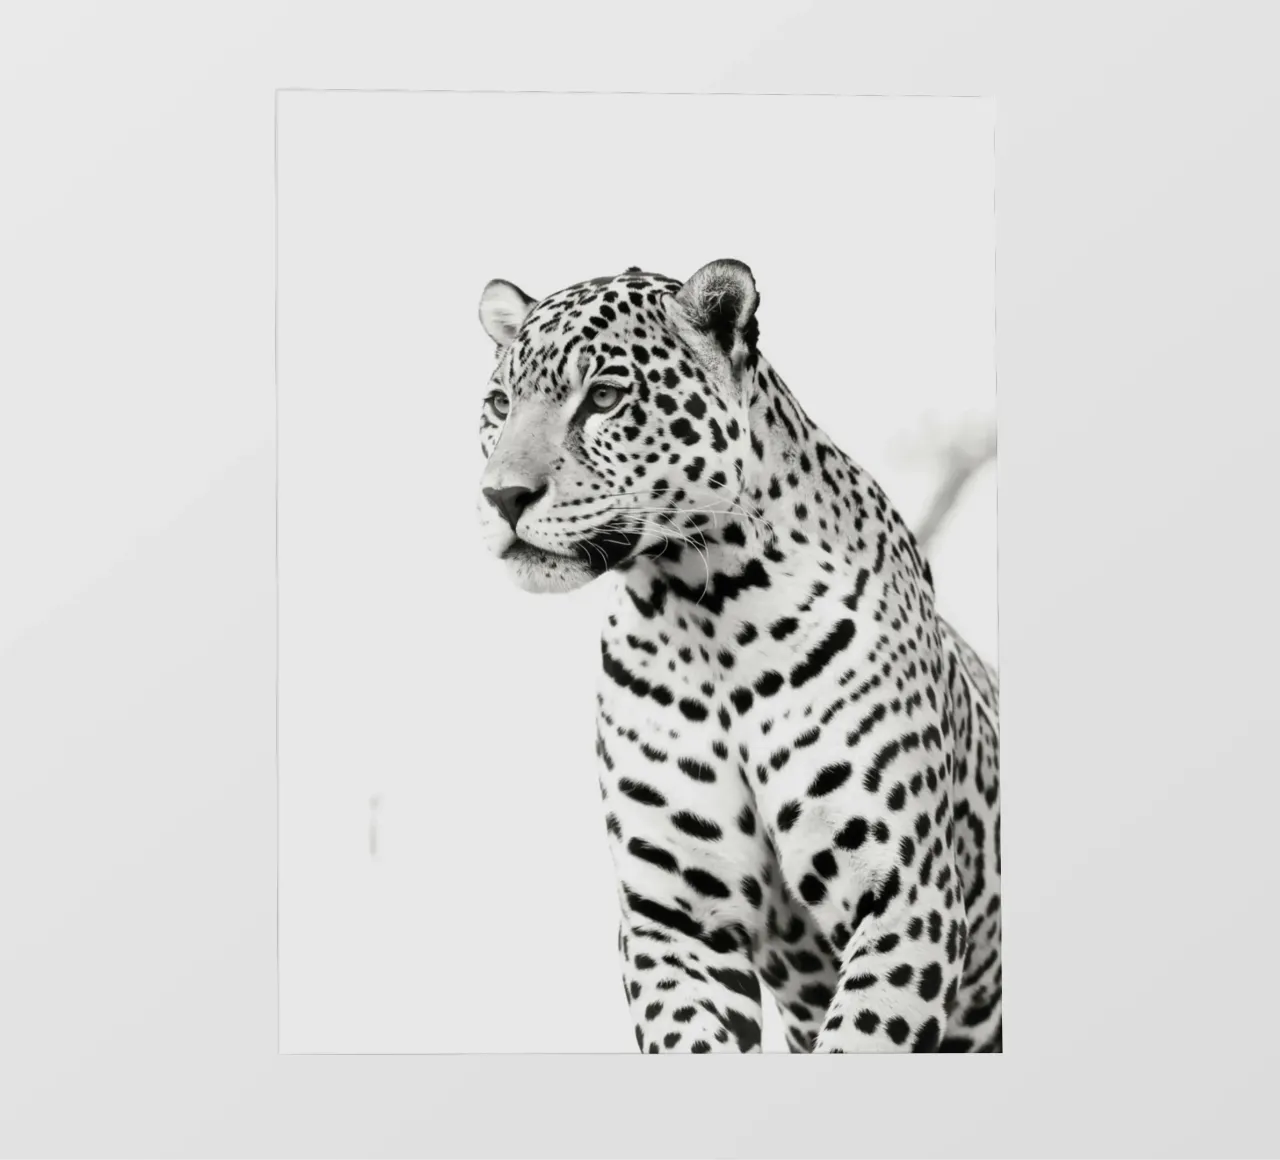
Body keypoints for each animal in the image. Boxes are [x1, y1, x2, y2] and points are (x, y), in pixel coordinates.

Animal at [474, 260, 1001, 1053]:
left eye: (603, 398)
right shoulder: (676, 920)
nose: (502, 497)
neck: (705, 612)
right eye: (500, 404)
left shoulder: (906, 896)